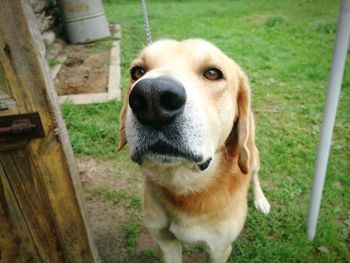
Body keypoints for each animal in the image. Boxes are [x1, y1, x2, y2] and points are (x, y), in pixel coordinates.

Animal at [118, 39, 270, 263]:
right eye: (138, 71)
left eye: (213, 73)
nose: (151, 97)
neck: (185, 186)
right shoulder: (165, 243)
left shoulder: (219, 250)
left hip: (252, 156)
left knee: (254, 176)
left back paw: (261, 200)